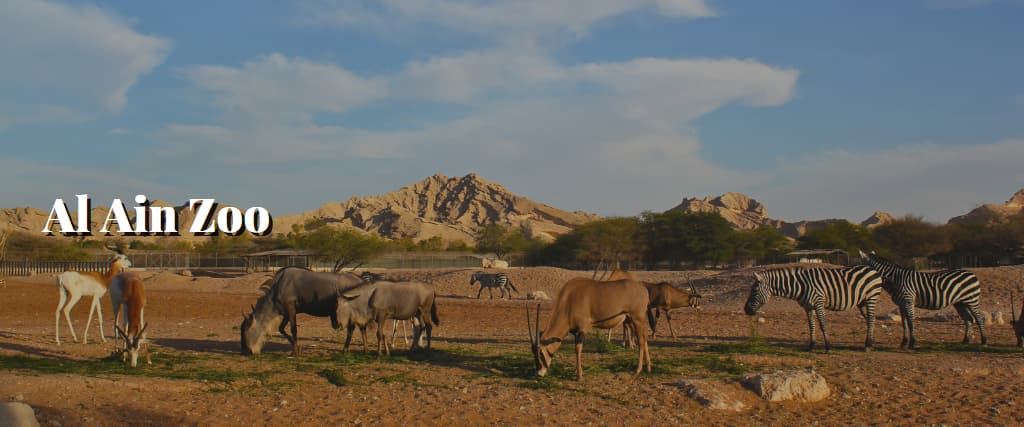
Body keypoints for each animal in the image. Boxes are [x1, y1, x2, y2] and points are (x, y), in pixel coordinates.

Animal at [741, 264, 884, 350]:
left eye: (754, 291)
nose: (746, 310)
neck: (801, 286)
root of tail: (871, 269)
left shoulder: (819, 302)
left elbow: (822, 325)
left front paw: (828, 347)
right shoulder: (808, 306)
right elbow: (811, 325)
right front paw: (811, 345)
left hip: (871, 298)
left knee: (871, 319)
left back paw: (868, 346)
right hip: (862, 302)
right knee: (871, 319)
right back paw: (870, 343)